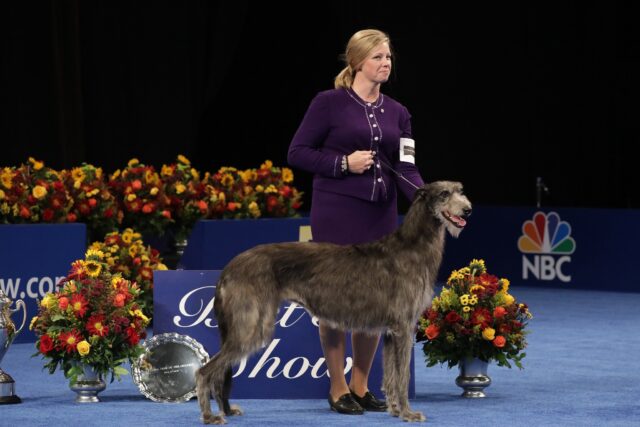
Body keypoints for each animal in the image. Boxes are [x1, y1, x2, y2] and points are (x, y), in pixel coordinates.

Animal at [194, 180, 470, 424]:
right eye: (444, 194)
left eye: (460, 190)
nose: (467, 209)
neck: (412, 246)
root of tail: (229, 268)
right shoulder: (404, 328)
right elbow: (402, 377)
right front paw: (408, 413)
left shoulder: (392, 331)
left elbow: (392, 377)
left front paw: (394, 409)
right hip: (251, 326)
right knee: (205, 371)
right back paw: (209, 416)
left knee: (219, 372)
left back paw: (226, 410)